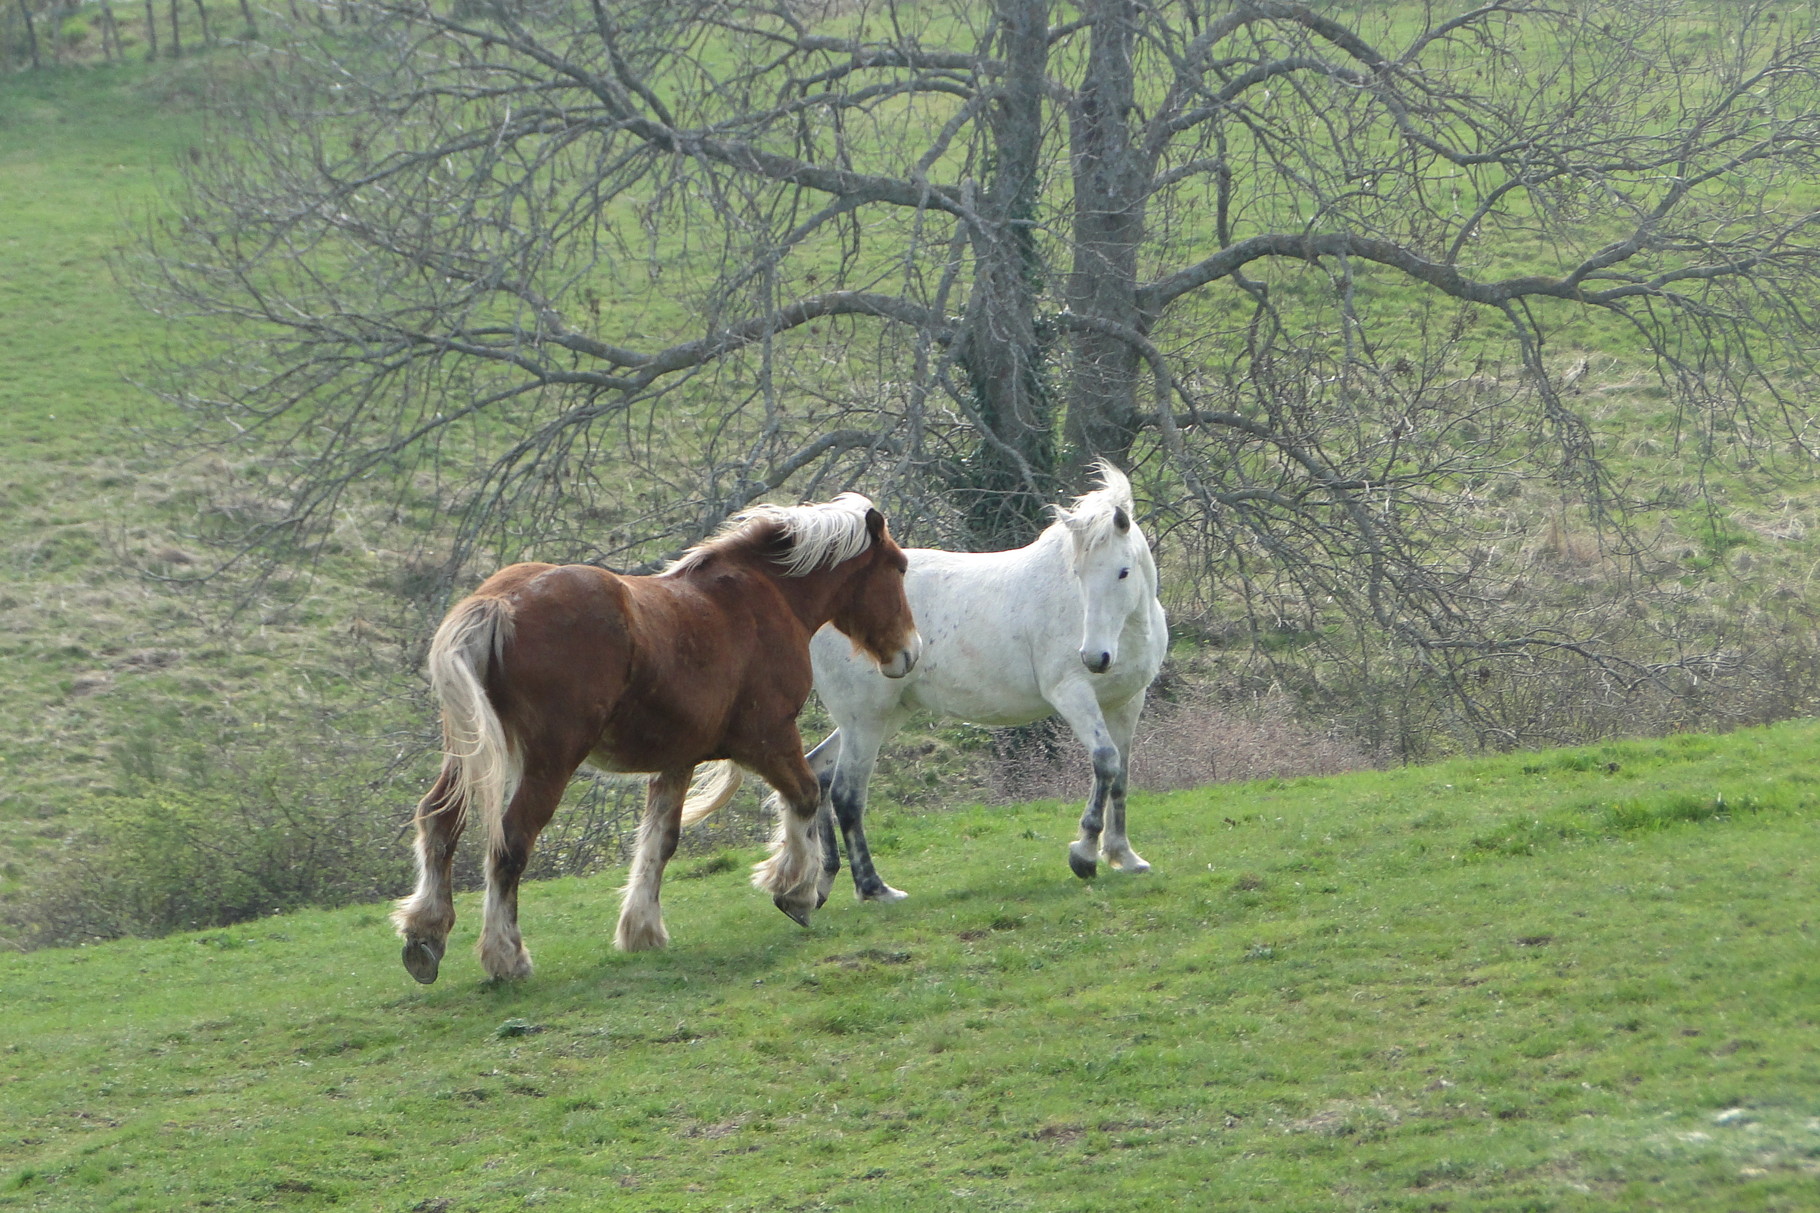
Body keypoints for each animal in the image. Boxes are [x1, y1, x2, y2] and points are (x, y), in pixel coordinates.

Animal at [389, 495, 917, 976]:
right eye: (899, 566)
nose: (910, 652)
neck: (763, 596)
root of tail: (499, 601)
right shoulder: (767, 738)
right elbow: (805, 796)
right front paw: (796, 892)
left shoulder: (678, 760)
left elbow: (659, 842)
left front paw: (641, 930)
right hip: (549, 762)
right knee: (510, 844)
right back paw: (506, 957)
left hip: (467, 754)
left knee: (438, 821)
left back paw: (425, 936)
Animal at [684, 458, 1164, 903]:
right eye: (1077, 574)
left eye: (1122, 572)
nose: (1095, 657)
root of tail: (819, 612)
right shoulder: (1072, 694)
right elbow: (1104, 761)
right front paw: (1084, 854)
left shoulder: (1127, 702)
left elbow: (1121, 774)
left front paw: (1123, 856)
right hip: (866, 721)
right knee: (845, 793)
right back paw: (873, 888)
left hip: (878, 718)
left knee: (819, 774)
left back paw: (824, 880)